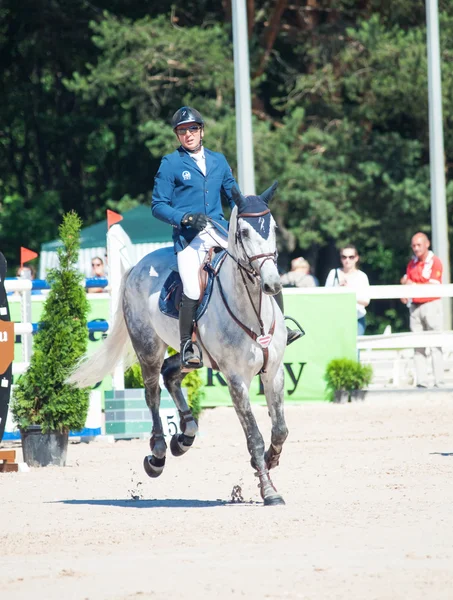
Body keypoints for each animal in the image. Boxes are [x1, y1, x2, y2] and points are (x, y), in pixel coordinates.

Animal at [69, 184, 288, 506]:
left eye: (272, 228)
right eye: (244, 232)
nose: (272, 284)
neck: (252, 307)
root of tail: (138, 265)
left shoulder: (273, 371)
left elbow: (280, 430)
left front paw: (271, 461)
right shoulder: (236, 380)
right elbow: (255, 437)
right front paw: (269, 490)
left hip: (193, 357)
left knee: (171, 374)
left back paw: (185, 435)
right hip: (148, 348)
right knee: (152, 393)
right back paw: (158, 454)